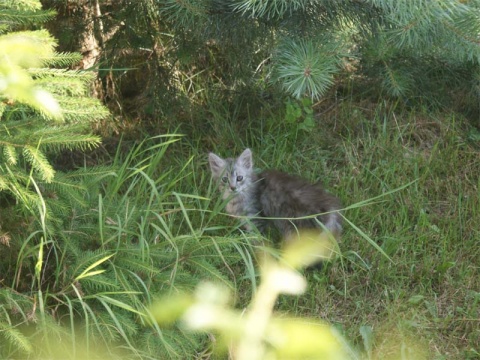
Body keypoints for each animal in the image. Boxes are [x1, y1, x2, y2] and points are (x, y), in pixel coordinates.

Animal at [209, 148, 342, 240]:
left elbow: (258, 240)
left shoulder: (256, 219)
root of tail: (328, 204)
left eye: (239, 178)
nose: (232, 187)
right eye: (224, 179)